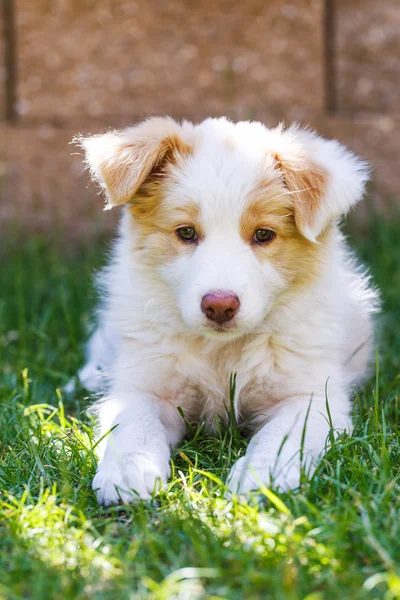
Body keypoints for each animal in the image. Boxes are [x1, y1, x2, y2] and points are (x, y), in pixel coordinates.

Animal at [75, 115, 378, 504]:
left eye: (263, 235)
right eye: (186, 232)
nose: (219, 305)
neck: (221, 351)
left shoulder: (310, 396)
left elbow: (280, 437)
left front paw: (262, 476)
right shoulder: (147, 386)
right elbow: (134, 423)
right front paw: (129, 469)